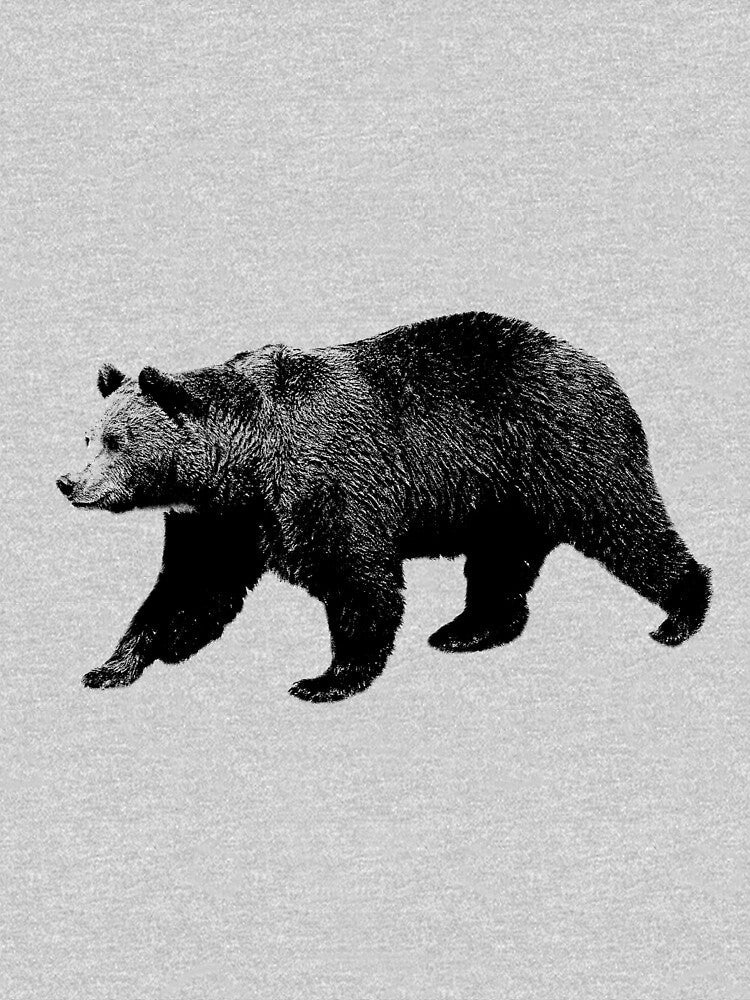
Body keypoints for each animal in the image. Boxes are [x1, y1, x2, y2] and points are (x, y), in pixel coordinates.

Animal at [57, 311, 711, 702]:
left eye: (115, 440)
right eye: (88, 436)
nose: (67, 482)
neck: (243, 462)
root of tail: (599, 366)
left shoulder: (325, 484)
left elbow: (359, 581)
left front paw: (326, 678)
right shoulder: (220, 519)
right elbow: (190, 590)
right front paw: (113, 664)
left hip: (563, 454)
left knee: (626, 526)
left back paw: (680, 612)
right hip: (503, 498)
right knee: (500, 563)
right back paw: (467, 629)